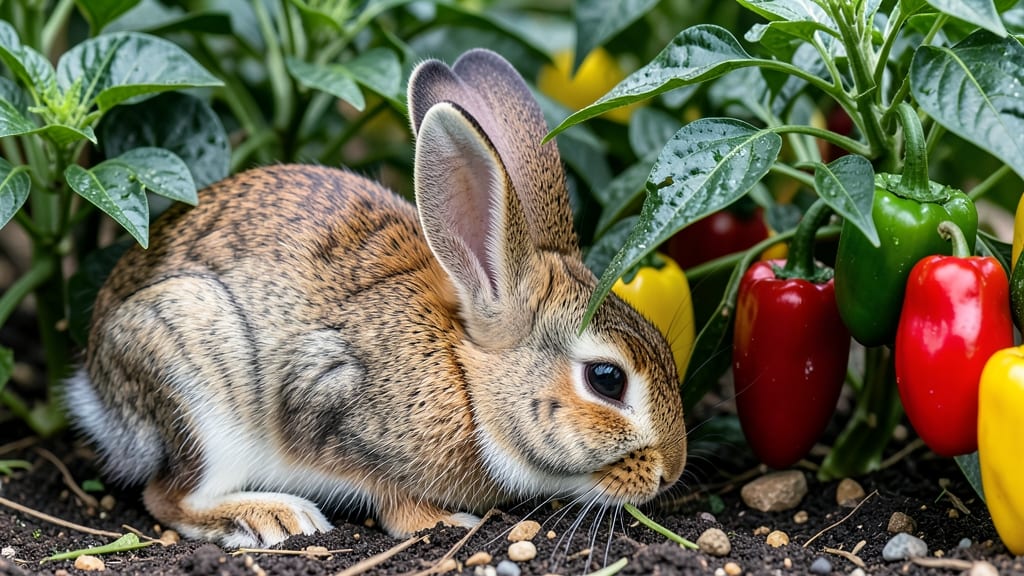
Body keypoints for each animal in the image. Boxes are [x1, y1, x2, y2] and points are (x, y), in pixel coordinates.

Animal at [65, 48, 687, 549]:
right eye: (606, 379)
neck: (468, 377)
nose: (671, 472)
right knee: (168, 497)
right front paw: (445, 524)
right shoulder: (335, 408)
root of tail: (96, 385)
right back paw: (275, 518)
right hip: (193, 382)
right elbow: (391, 495)